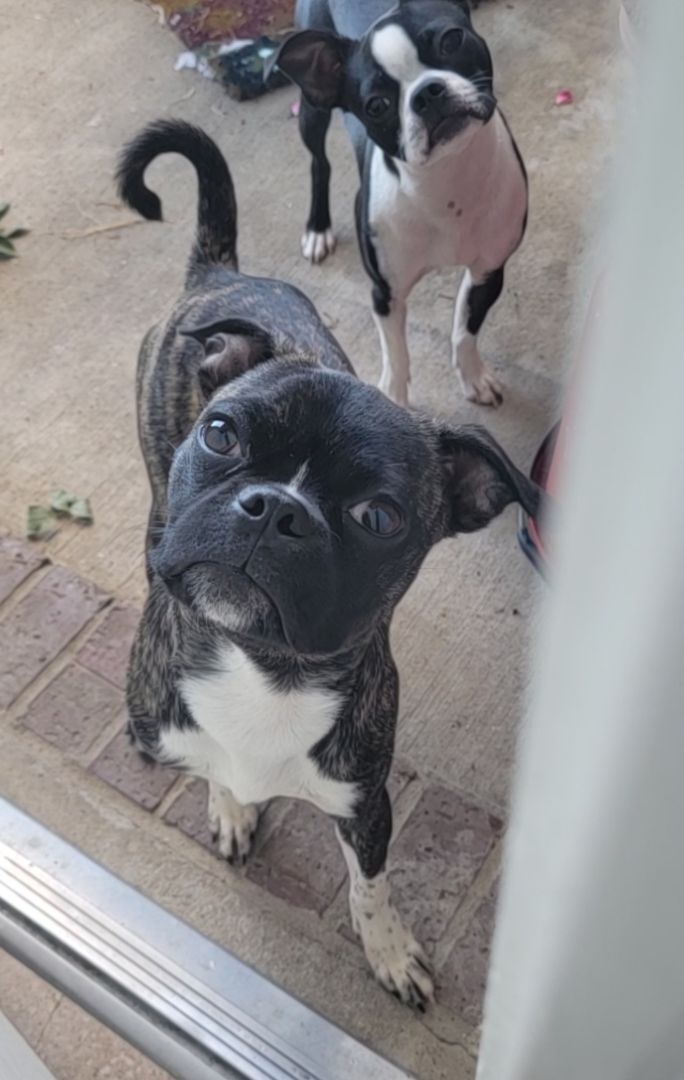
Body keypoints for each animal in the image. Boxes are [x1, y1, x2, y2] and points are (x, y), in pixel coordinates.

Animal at [118, 122, 538, 1006]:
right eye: (222, 434)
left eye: (378, 517)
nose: (277, 508)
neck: (261, 667)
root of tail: (222, 272)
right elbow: (216, 770)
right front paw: (231, 805)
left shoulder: (366, 803)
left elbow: (370, 883)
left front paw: (389, 948)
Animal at [274, 1, 525, 406]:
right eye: (377, 105)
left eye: (451, 40)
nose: (427, 92)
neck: (446, 181)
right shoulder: (385, 293)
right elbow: (396, 354)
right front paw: (393, 399)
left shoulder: (489, 270)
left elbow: (465, 328)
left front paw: (473, 376)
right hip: (312, 111)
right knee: (319, 162)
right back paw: (317, 229)